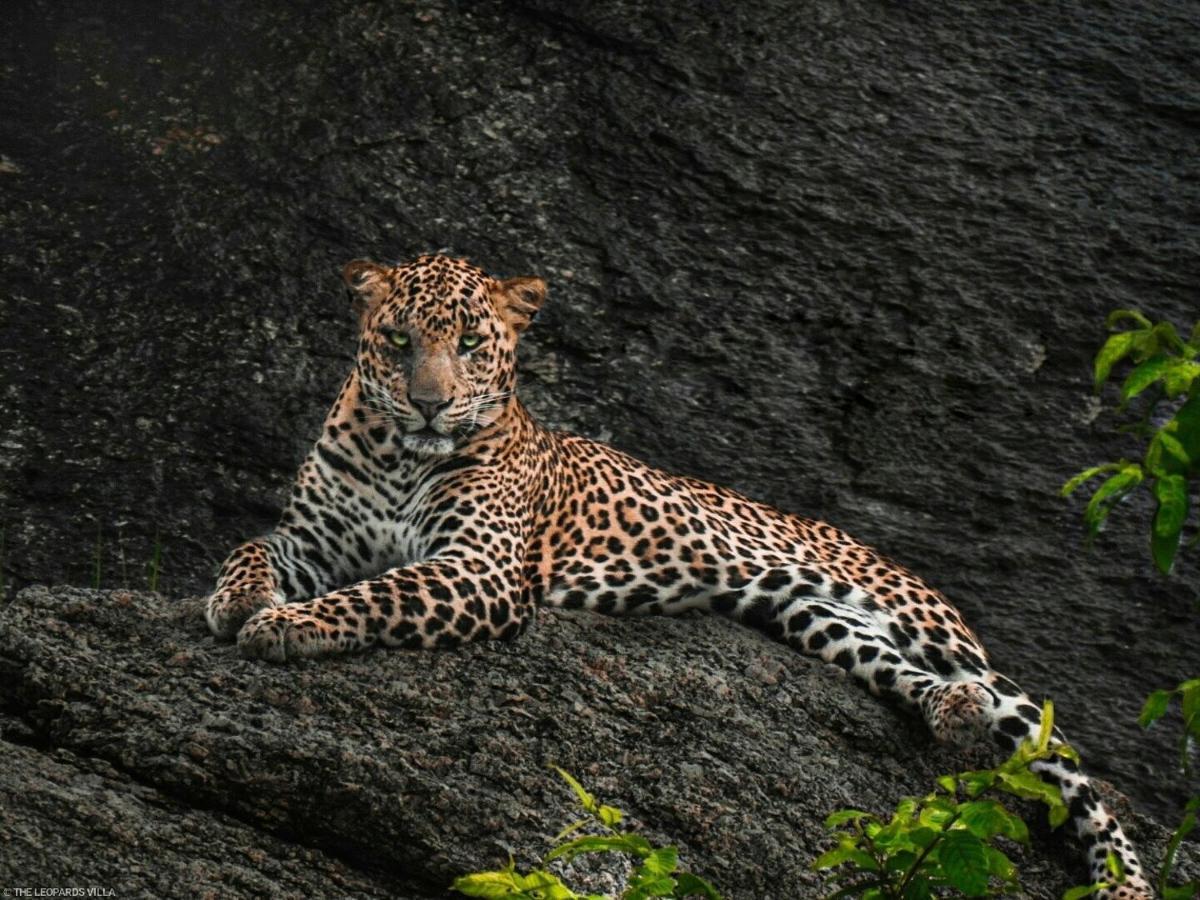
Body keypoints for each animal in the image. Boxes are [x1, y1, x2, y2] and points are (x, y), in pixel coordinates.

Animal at [206, 250, 1152, 897]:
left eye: (472, 343)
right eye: (398, 341)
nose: (430, 404)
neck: (401, 453)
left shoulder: (481, 568)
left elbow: (382, 590)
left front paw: (288, 624)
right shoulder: (314, 536)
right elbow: (251, 549)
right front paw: (239, 598)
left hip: (939, 634)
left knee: (1067, 763)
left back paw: (1121, 878)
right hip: (808, 617)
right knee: (905, 676)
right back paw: (946, 711)